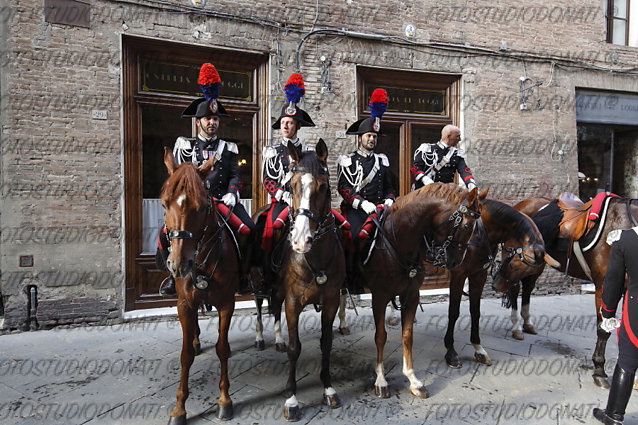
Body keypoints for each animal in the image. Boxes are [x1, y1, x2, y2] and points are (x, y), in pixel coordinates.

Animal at [161, 147, 239, 422]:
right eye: (164, 203)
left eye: (203, 206)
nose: (178, 264)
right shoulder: (184, 304)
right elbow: (185, 356)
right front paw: (179, 408)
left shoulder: (227, 303)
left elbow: (222, 348)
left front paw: (224, 400)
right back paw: (195, 340)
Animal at [268, 140, 348, 420]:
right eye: (291, 186)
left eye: (323, 187)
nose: (301, 240)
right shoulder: (292, 301)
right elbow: (295, 347)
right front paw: (291, 399)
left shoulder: (331, 300)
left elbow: (327, 342)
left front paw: (328, 388)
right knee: (269, 309)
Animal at [360, 183, 484, 398]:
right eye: (468, 226)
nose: (455, 262)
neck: (399, 240)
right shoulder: (379, 296)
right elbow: (380, 336)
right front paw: (381, 379)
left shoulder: (411, 295)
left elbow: (407, 336)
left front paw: (413, 379)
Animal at [444, 197, 560, 366]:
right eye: (513, 264)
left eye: (527, 271)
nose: (497, 285)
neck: (481, 231)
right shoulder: (458, 275)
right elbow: (453, 311)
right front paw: (451, 351)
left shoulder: (479, 275)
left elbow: (475, 311)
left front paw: (478, 348)